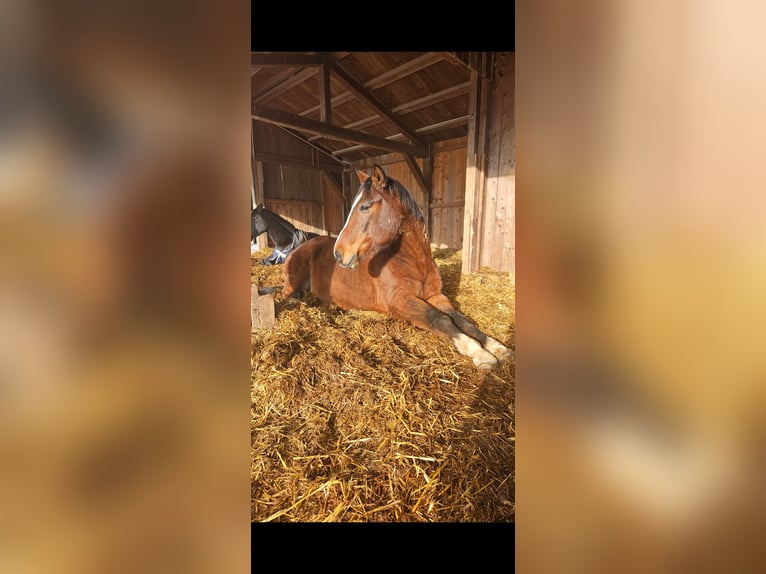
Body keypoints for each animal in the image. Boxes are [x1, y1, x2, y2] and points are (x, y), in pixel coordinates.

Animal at [282, 164, 512, 370]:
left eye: (365, 206)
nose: (339, 253)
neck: (415, 264)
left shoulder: (437, 296)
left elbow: (463, 321)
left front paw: (497, 347)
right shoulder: (399, 300)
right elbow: (440, 319)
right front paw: (479, 353)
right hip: (293, 285)